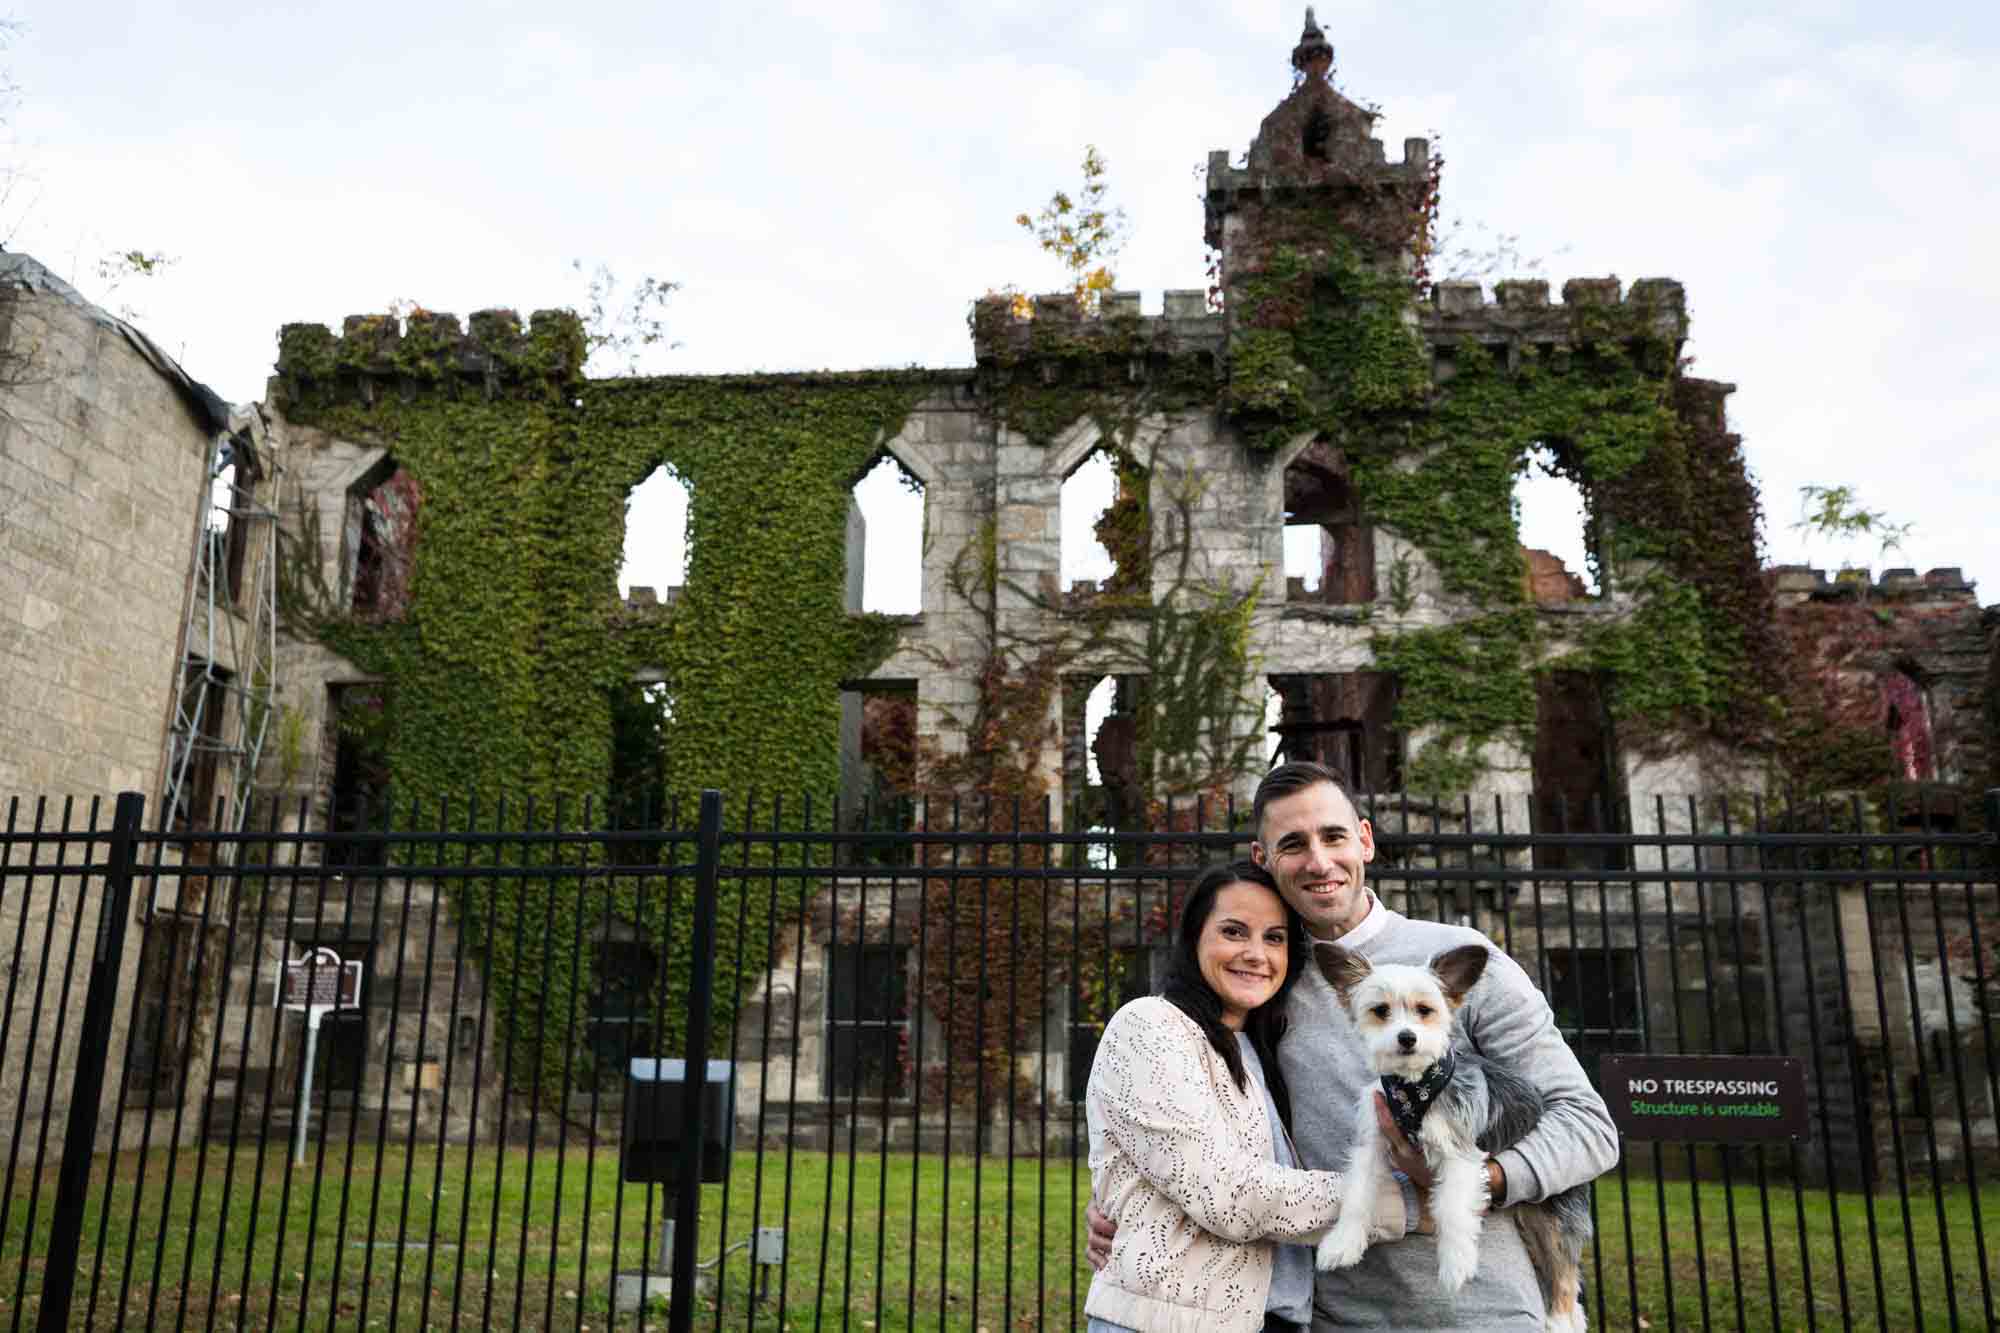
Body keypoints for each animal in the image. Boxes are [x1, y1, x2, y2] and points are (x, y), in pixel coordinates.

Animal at [1312, 940, 1592, 1320]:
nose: (1407, 1037)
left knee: (1566, 1284)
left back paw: (1558, 1321)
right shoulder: (1371, 1147)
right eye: (1381, 1010)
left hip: (1555, 1219)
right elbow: (1357, 1195)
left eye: (1424, 1009)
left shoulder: (1460, 1155)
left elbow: (1452, 1210)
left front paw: (1456, 1264)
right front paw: (1342, 1243)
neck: (1414, 1086)